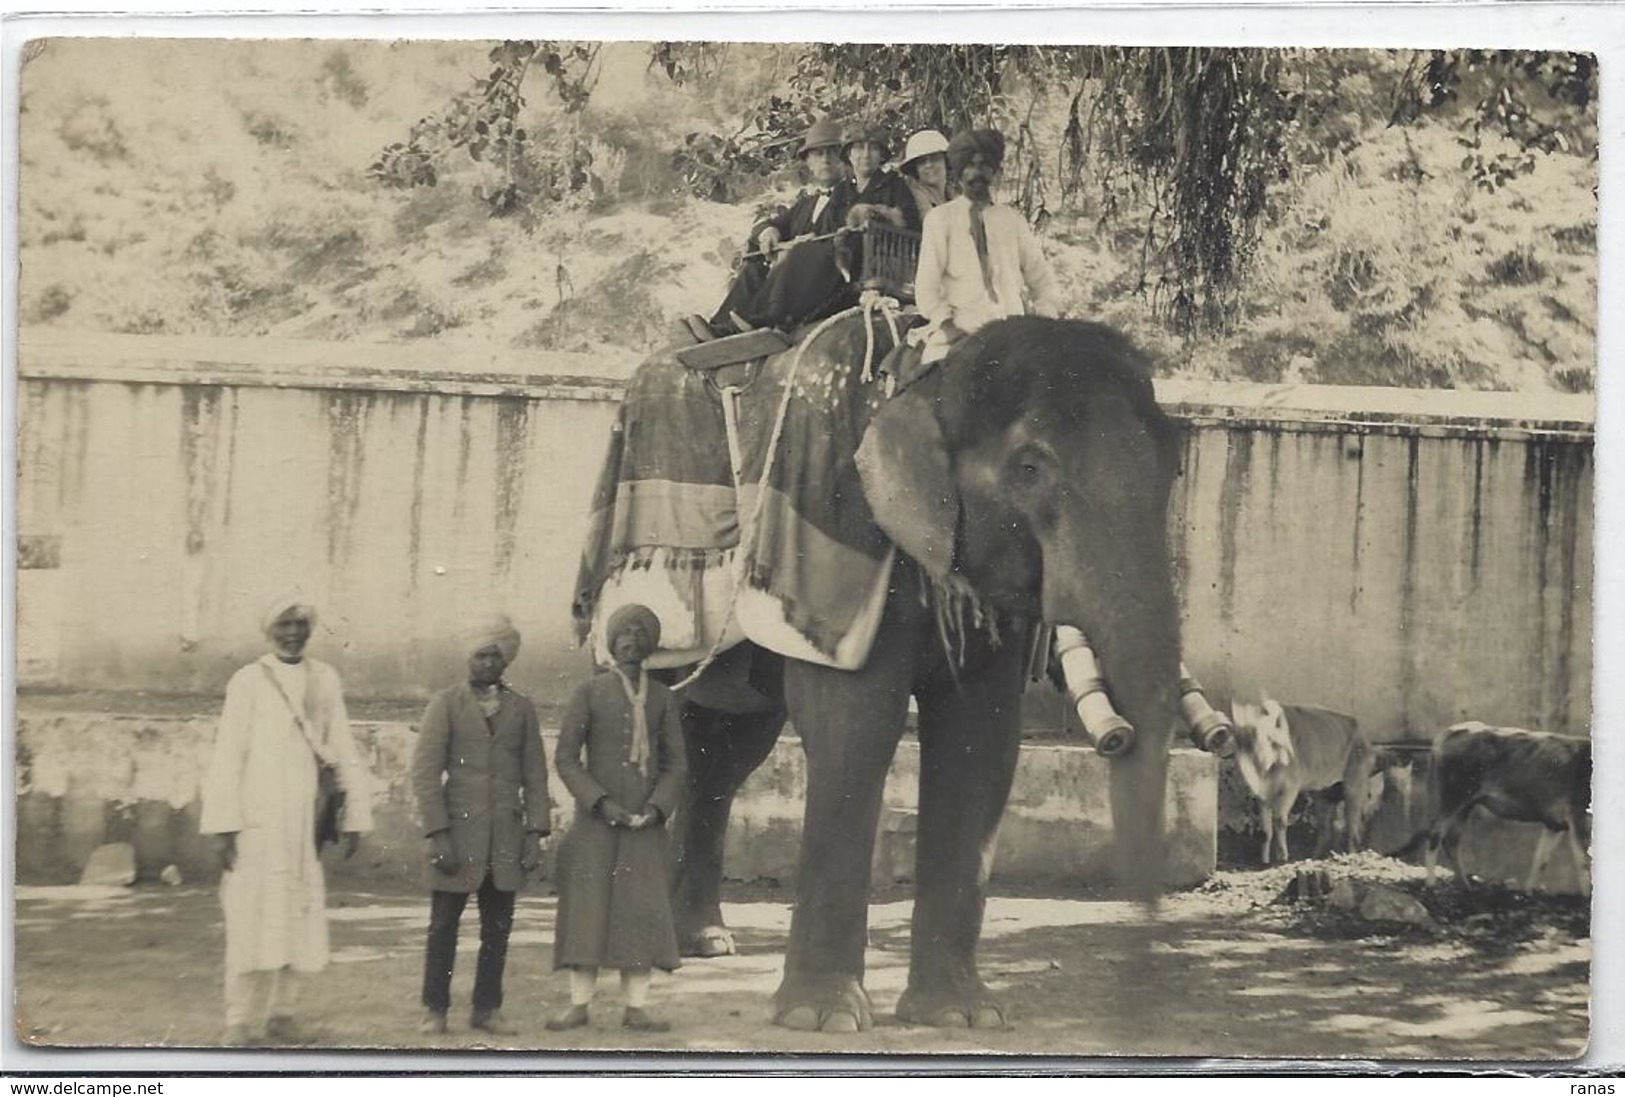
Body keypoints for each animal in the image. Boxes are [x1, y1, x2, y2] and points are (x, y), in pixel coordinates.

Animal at [650, 313, 1196, 1033]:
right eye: (1029, 467)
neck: (930, 375)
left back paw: (703, 941)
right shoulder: (844, 525)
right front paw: (822, 1019)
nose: (1147, 936)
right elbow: (856, 727)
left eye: (1171, 464)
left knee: (728, 747)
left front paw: (963, 1016)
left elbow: (979, 743)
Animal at [1228, 698, 1371, 864]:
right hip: (1324, 793)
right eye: (1242, 741)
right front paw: (1264, 861)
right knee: (1327, 829)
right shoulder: (1261, 794)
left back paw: (1351, 855)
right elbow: (1265, 830)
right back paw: (1316, 856)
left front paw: (1282, 857)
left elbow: (1280, 820)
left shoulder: (1290, 788)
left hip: (1354, 784)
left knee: (1353, 828)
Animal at [1417, 721, 1592, 890]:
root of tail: (1451, 730)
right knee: (1435, 834)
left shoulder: (1555, 823)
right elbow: (1584, 863)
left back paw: (1465, 886)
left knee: (1452, 839)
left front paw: (1529, 892)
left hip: (1466, 803)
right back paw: (1431, 885)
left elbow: (1541, 860)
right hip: (1452, 797)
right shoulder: (1579, 816)